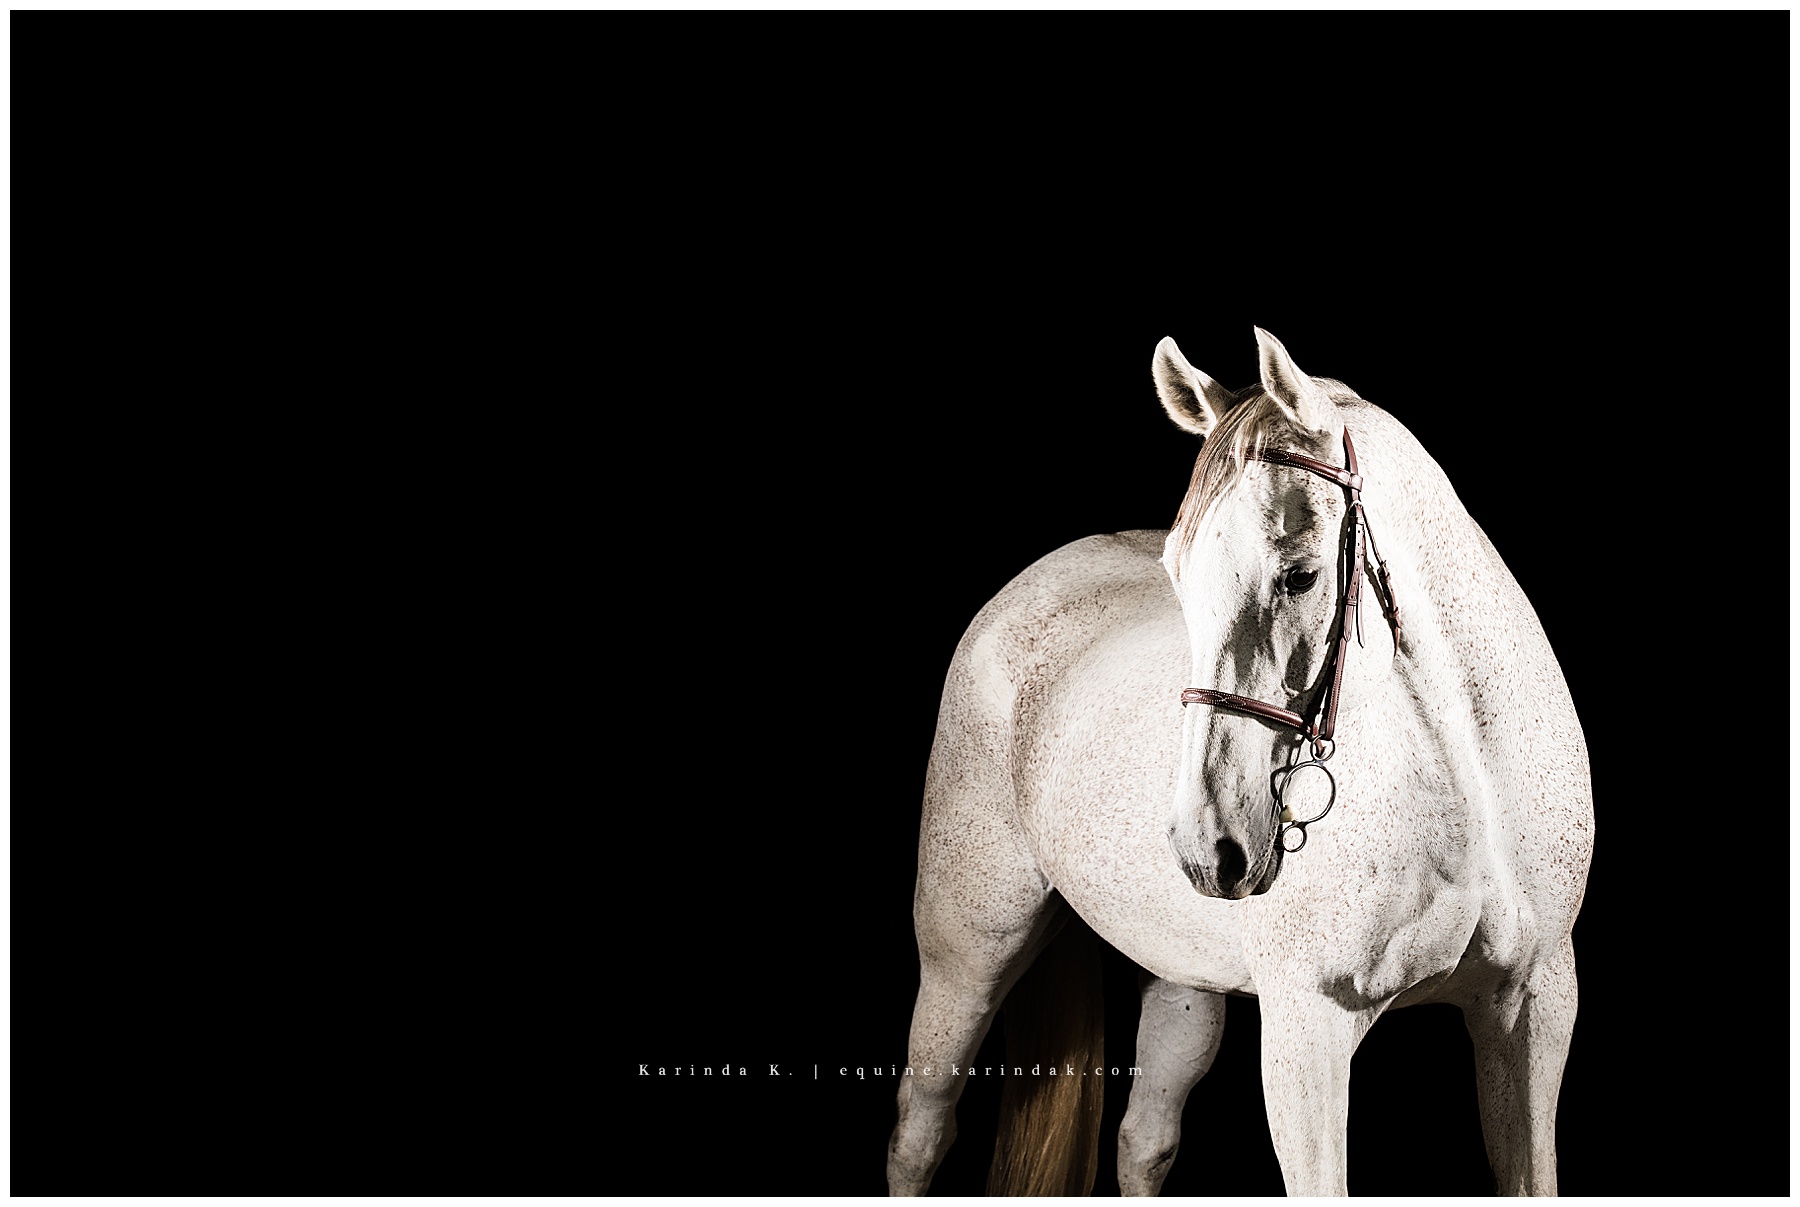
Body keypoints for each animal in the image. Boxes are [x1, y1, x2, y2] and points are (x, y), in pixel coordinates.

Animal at [885, 328, 1594, 1197]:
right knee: (921, 1131)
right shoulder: (1308, 1029)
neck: (1466, 791)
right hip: (966, 951)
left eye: (1301, 573)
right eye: (1177, 577)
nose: (1207, 844)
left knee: (1144, 1139)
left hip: (1181, 981)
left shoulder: (1531, 1009)